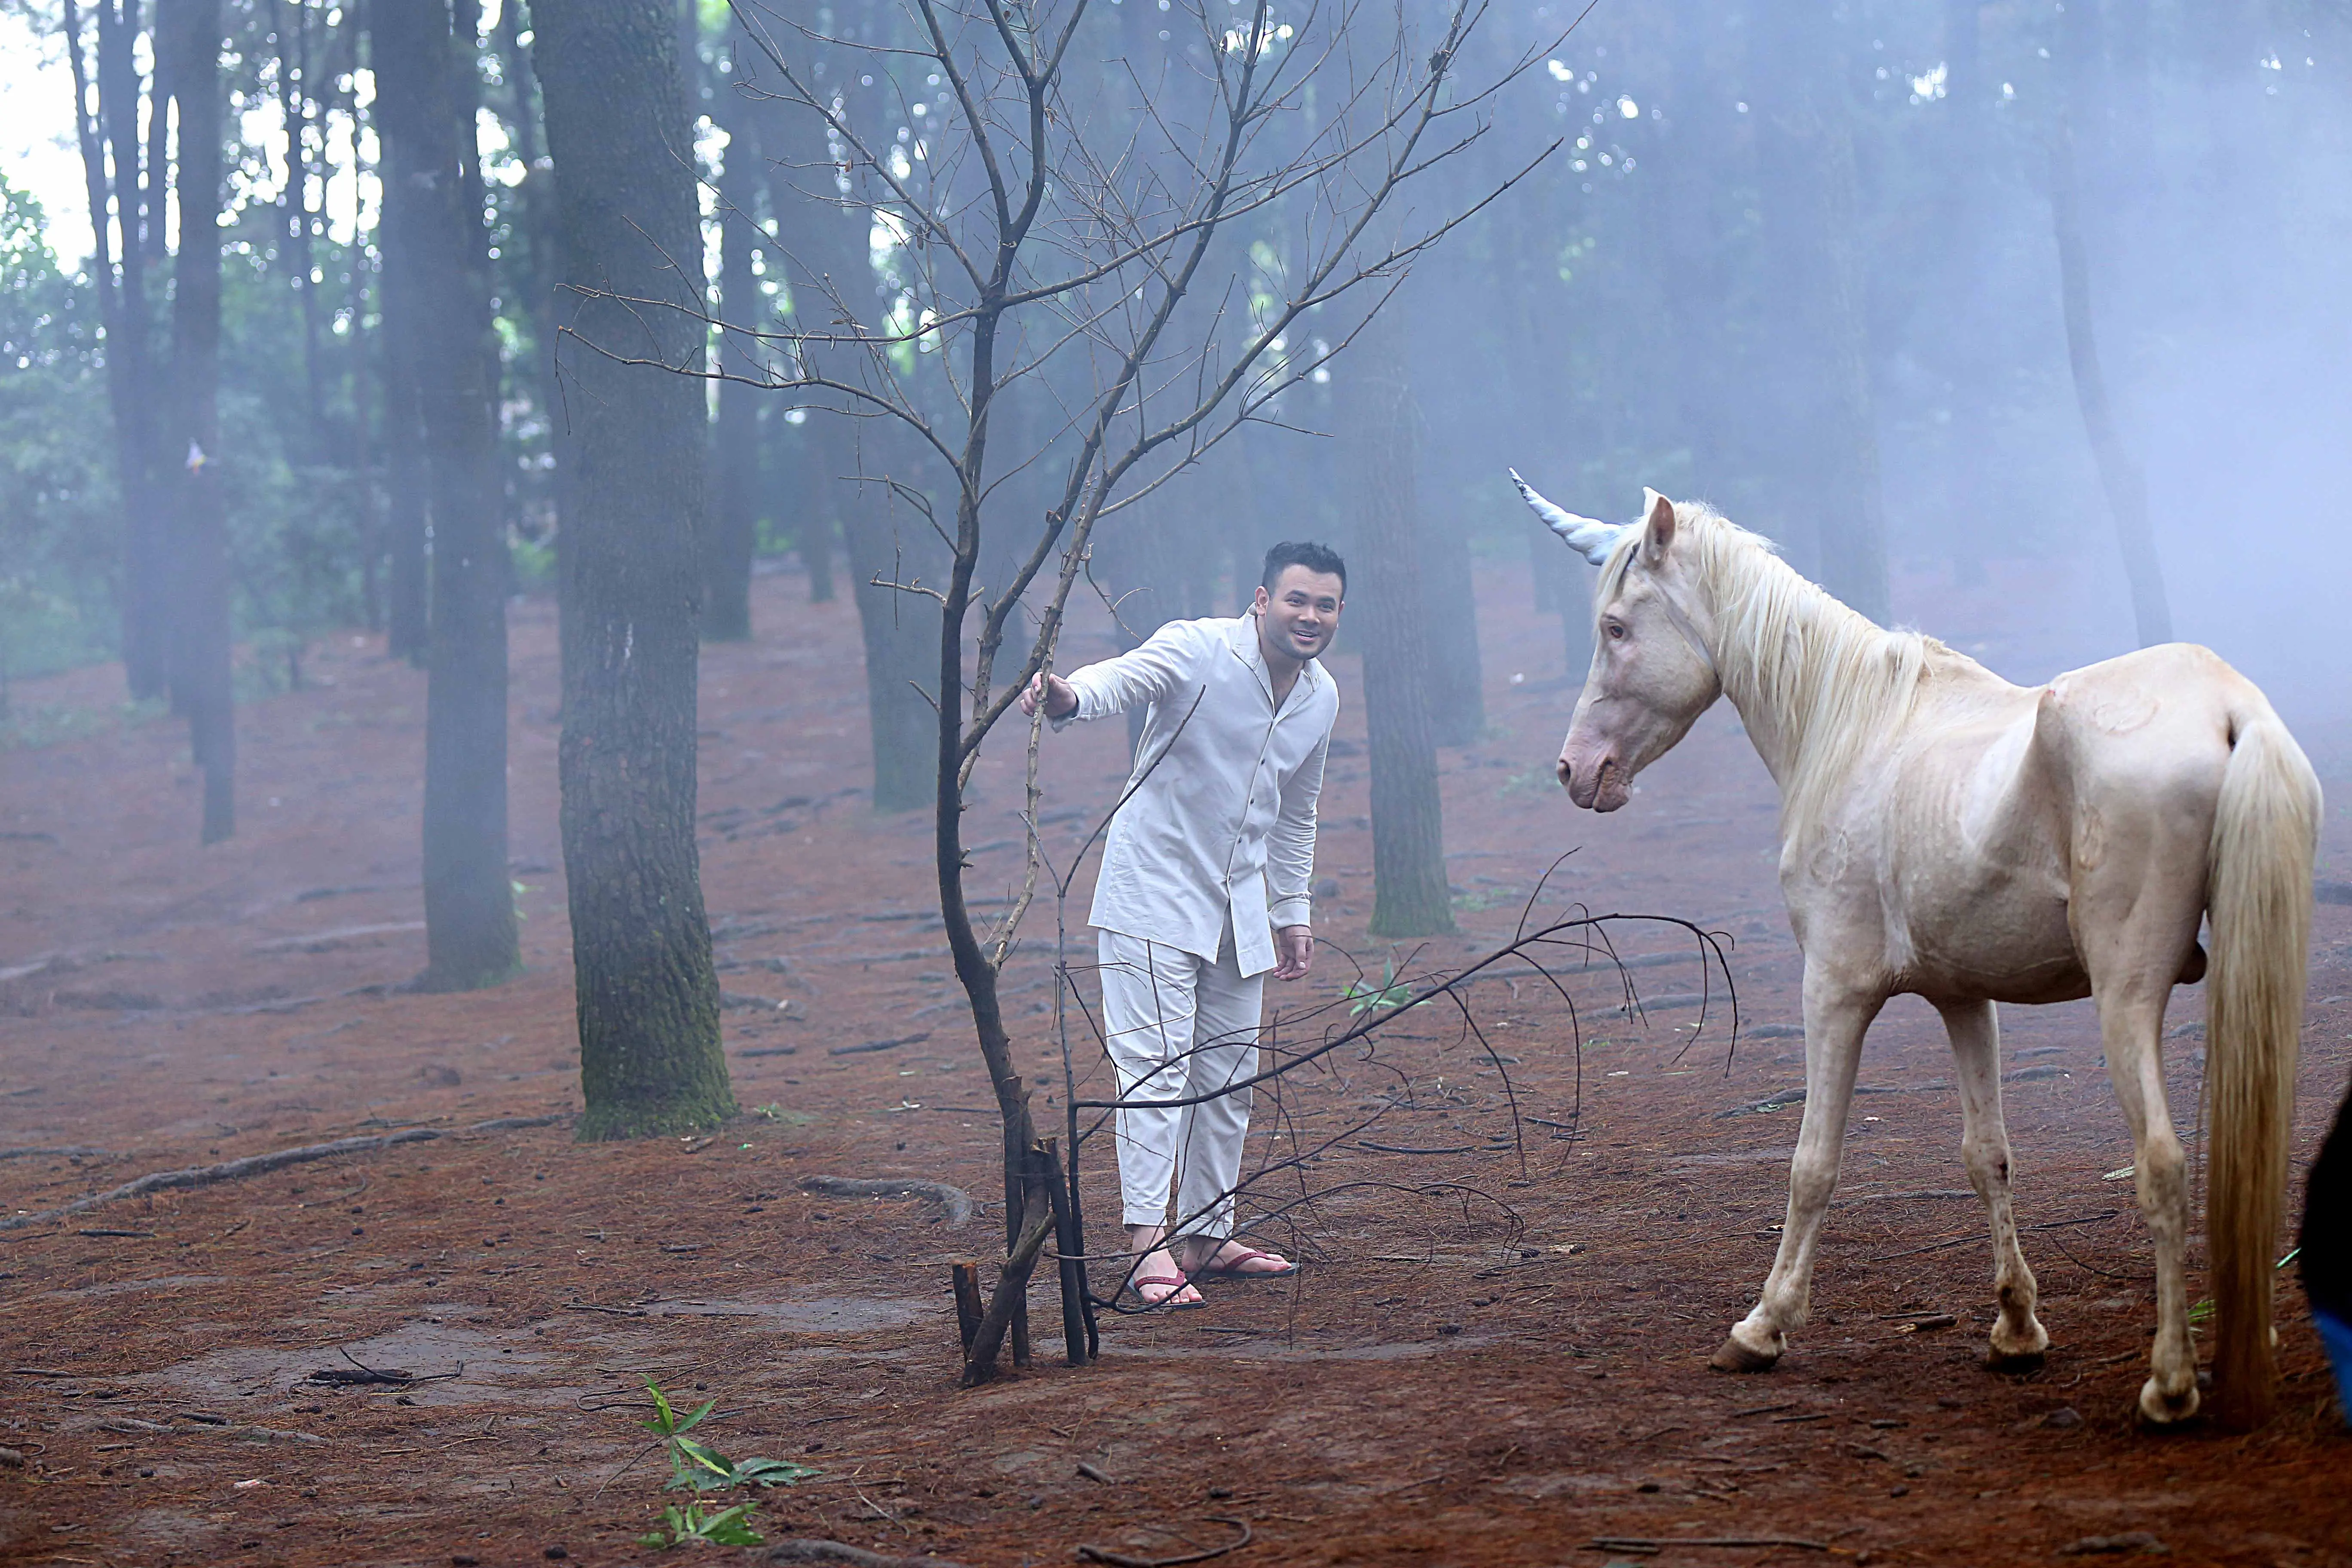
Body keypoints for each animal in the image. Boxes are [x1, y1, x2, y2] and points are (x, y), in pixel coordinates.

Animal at [1524, 472, 2314, 1429]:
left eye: (1614, 627)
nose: (1575, 770)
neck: (1854, 731)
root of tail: (2231, 710)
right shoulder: (1963, 996)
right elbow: (1987, 1156)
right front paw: (2016, 1330)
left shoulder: (1833, 990)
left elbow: (1813, 1165)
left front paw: (1763, 1326)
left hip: (2127, 1000)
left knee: (2162, 1166)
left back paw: (2169, 1384)